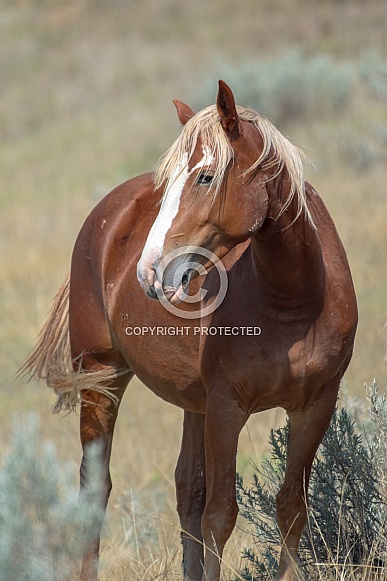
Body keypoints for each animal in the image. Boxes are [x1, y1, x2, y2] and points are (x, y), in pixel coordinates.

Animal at [20, 81, 358, 580]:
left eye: (205, 177)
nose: (148, 270)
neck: (292, 303)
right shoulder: (226, 406)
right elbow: (220, 515)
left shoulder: (316, 404)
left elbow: (290, 509)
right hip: (102, 378)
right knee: (95, 488)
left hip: (192, 402)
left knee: (186, 490)